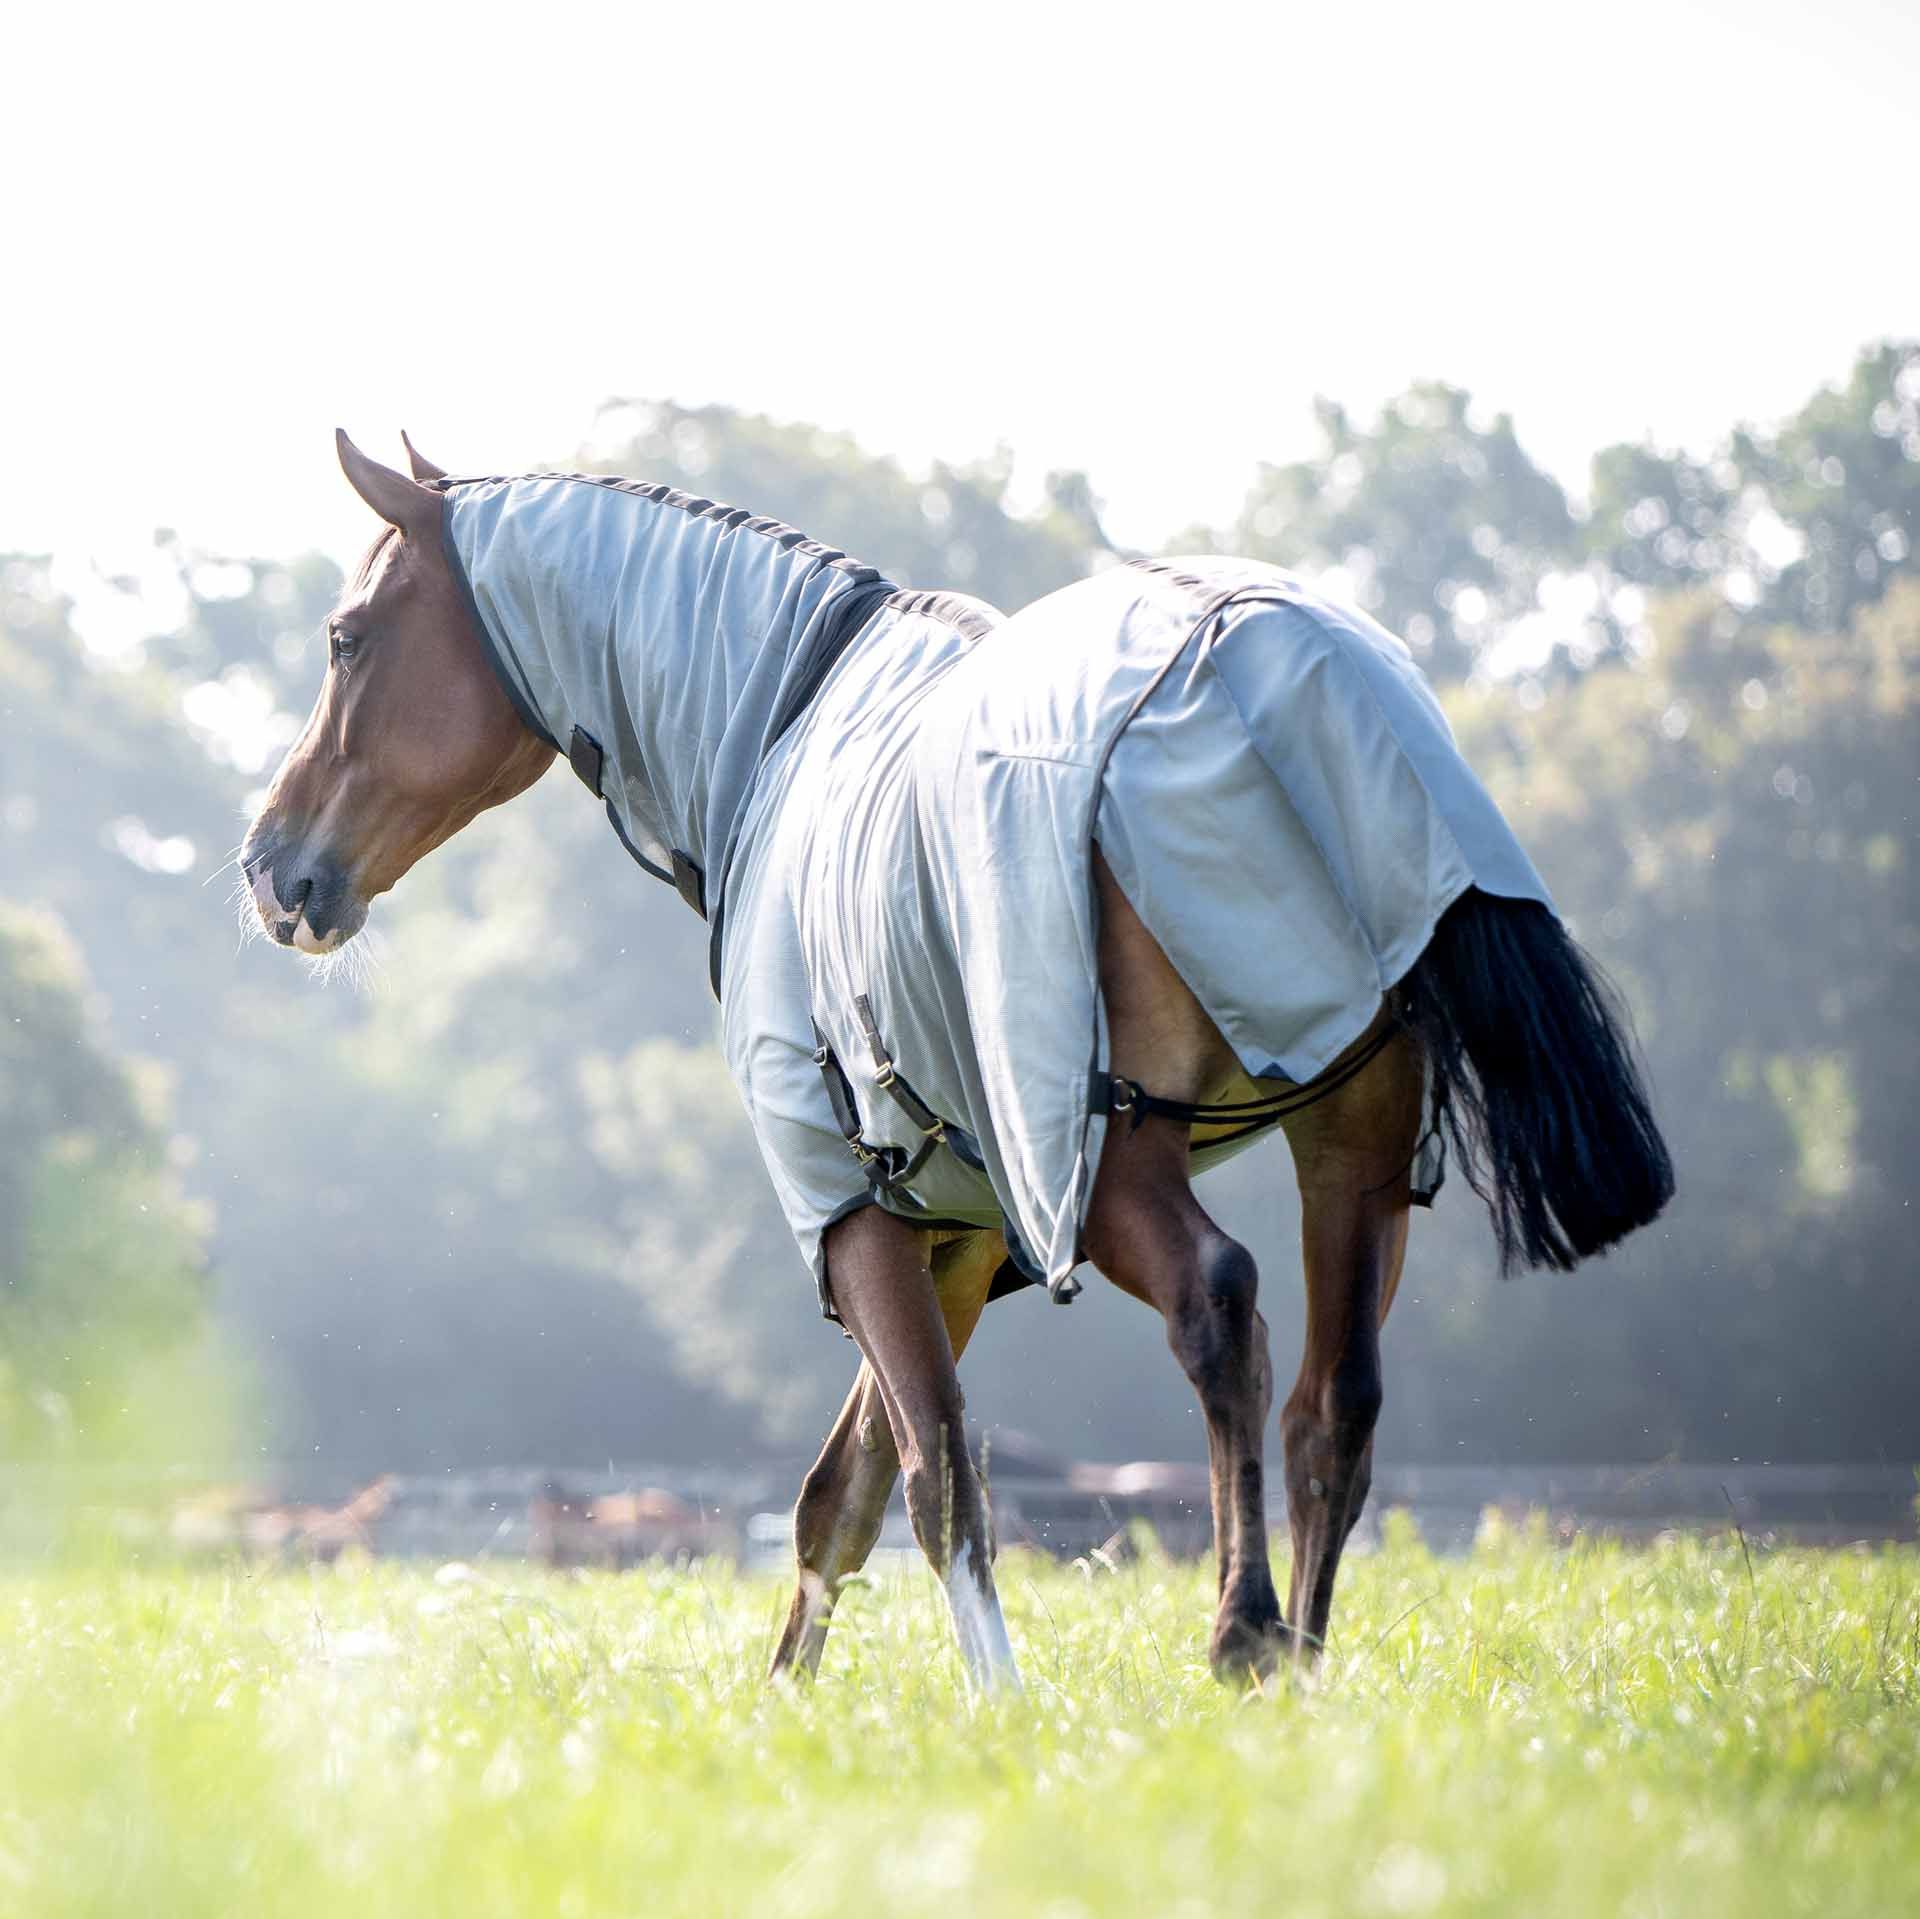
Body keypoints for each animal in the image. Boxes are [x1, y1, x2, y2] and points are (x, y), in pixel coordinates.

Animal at [239, 432, 1673, 1691]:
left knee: (1223, 1312)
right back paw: (1306, 1670)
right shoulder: (960, 1231)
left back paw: (1243, 1635)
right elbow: (844, 1493)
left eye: (346, 637)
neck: (786, 726)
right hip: (1354, 1149)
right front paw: (786, 1704)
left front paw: (999, 1703)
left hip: (1116, 1164)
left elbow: (936, 1478)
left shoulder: (854, 1210)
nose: (271, 865)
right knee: (1335, 1403)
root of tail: (1291, 669)